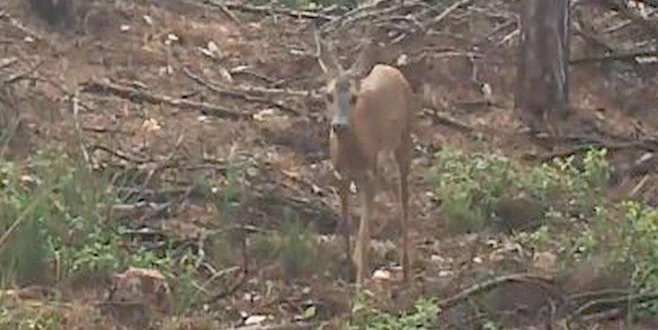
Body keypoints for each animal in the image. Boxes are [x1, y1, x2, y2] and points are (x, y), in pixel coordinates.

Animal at [312, 32, 416, 286]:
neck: (352, 155)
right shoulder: (340, 175)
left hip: (405, 138)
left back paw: (406, 272)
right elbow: (347, 224)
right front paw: (349, 268)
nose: (339, 125)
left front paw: (360, 280)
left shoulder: (370, 174)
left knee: (404, 200)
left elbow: (364, 231)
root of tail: (391, 69)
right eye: (328, 95)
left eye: (354, 98)